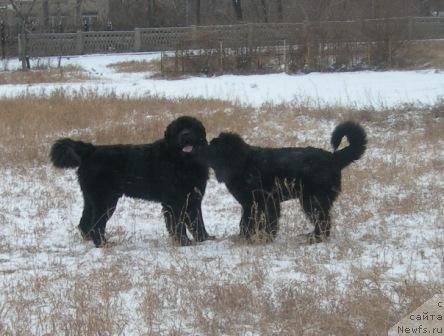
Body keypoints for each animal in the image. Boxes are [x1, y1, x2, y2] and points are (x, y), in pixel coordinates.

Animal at [50, 115, 213, 247]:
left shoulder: (193, 199)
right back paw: (103, 244)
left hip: (92, 199)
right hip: (105, 200)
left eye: (192, 127)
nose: (186, 134)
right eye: (178, 129)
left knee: (85, 222)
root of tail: (91, 150)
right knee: (96, 224)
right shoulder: (174, 202)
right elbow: (178, 224)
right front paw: (184, 242)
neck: (183, 162)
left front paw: (205, 239)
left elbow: (198, 222)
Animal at [199, 122, 366, 243]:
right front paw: (247, 237)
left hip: (312, 200)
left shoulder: (267, 201)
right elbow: (246, 221)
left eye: (213, 147)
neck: (243, 163)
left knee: (323, 220)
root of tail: (334, 158)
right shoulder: (250, 203)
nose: (199, 149)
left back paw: (315, 238)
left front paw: (264, 238)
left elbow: (265, 221)